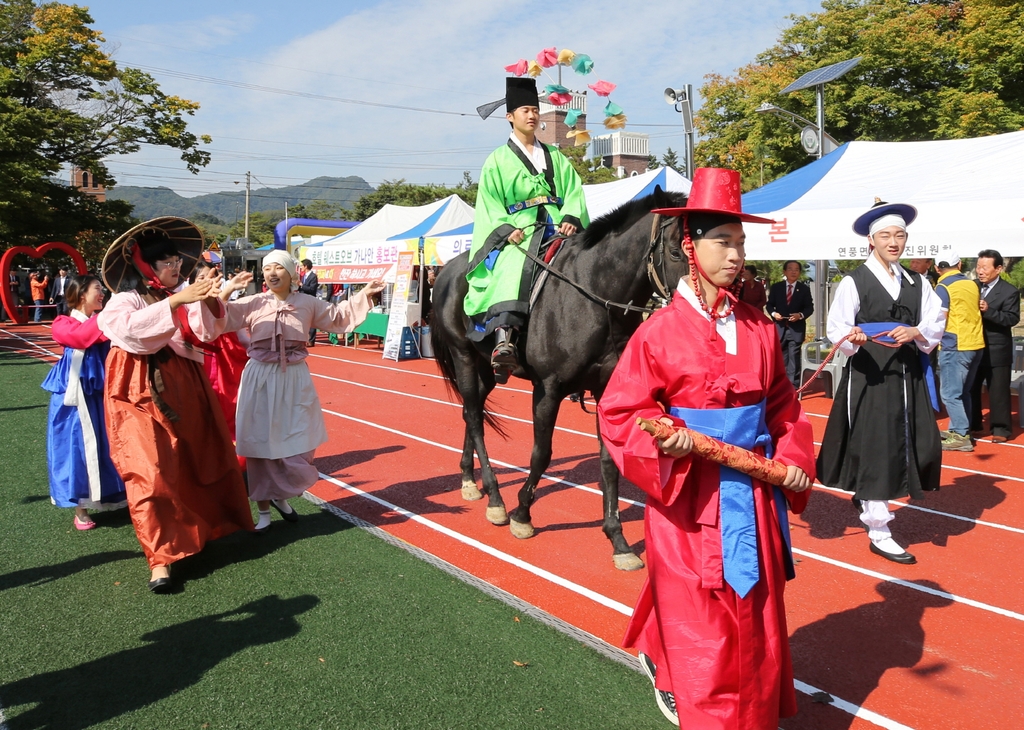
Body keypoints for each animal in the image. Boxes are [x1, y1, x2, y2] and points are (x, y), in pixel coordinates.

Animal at [430, 188, 688, 569]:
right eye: (674, 251)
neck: (594, 296)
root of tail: (448, 270)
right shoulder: (547, 388)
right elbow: (542, 454)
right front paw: (522, 514)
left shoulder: (606, 390)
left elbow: (609, 461)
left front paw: (618, 541)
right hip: (462, 354)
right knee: (475, 418)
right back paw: (496, 499)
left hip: (484, 368)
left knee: (469, 411)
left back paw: (468, 480)